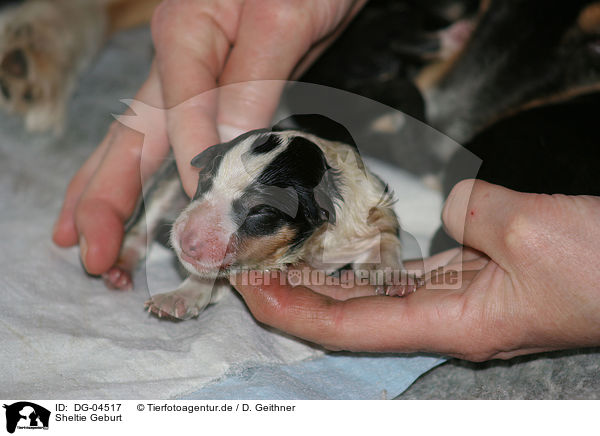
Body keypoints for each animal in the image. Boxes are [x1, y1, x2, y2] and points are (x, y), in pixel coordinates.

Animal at [104, 115, 404, 320]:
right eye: (205, 179)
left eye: (261, 211)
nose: (185, 240)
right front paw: (179, 296)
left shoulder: (367, 208)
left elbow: (385, 236)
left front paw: (393, 276)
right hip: (169, 184)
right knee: (140, 230)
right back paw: (120, 271)